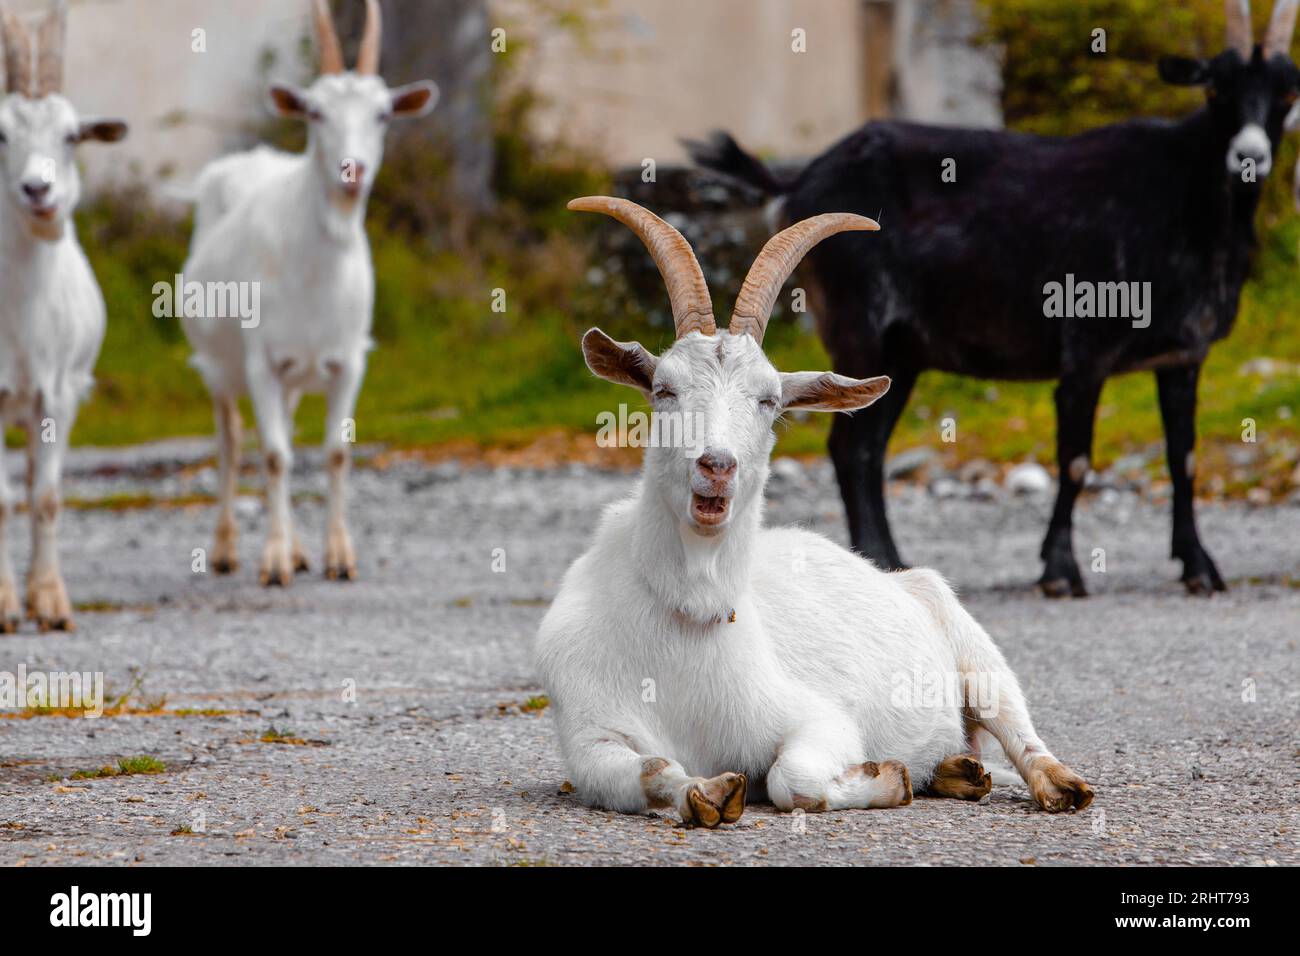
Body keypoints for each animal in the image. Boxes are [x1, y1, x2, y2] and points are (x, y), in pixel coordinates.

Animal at [180, 0, 439, 582]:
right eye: (316, 113)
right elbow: (275, 456)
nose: (353, 170)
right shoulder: (261, 362)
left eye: (383, 114)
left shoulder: (348, 361)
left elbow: (335, 453)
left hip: (295, 377)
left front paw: (338, 556)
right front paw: (274, 562)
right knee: (232, 442)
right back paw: (227, 549)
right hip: (219, 367)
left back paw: (298, 549)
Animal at [533, 197, 1092, 827]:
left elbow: (791, 779)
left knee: (1014, 722)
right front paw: (707, 793)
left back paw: (1055, 783)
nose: (717, 465)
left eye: (770, 399)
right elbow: (652, 770)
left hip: (971, 647)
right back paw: (958, 770)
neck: (687, 612)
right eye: (663, 389)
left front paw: (886, 777)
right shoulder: (590, 739)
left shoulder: (816, 719)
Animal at [686, 1, 1294, 598]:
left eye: (1288, 94)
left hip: (901, 353)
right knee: (851, 447)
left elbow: (1183, 457)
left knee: (865, 448)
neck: (1184, 200)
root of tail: (797, 181)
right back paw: (880, 562)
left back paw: (888, 564)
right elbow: (1076, 460)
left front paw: (1200, 567)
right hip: (861, 328)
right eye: (1215, 90)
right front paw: (1061, 571)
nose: (1250, 157)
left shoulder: (1183, 356)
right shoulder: (1086, 349)